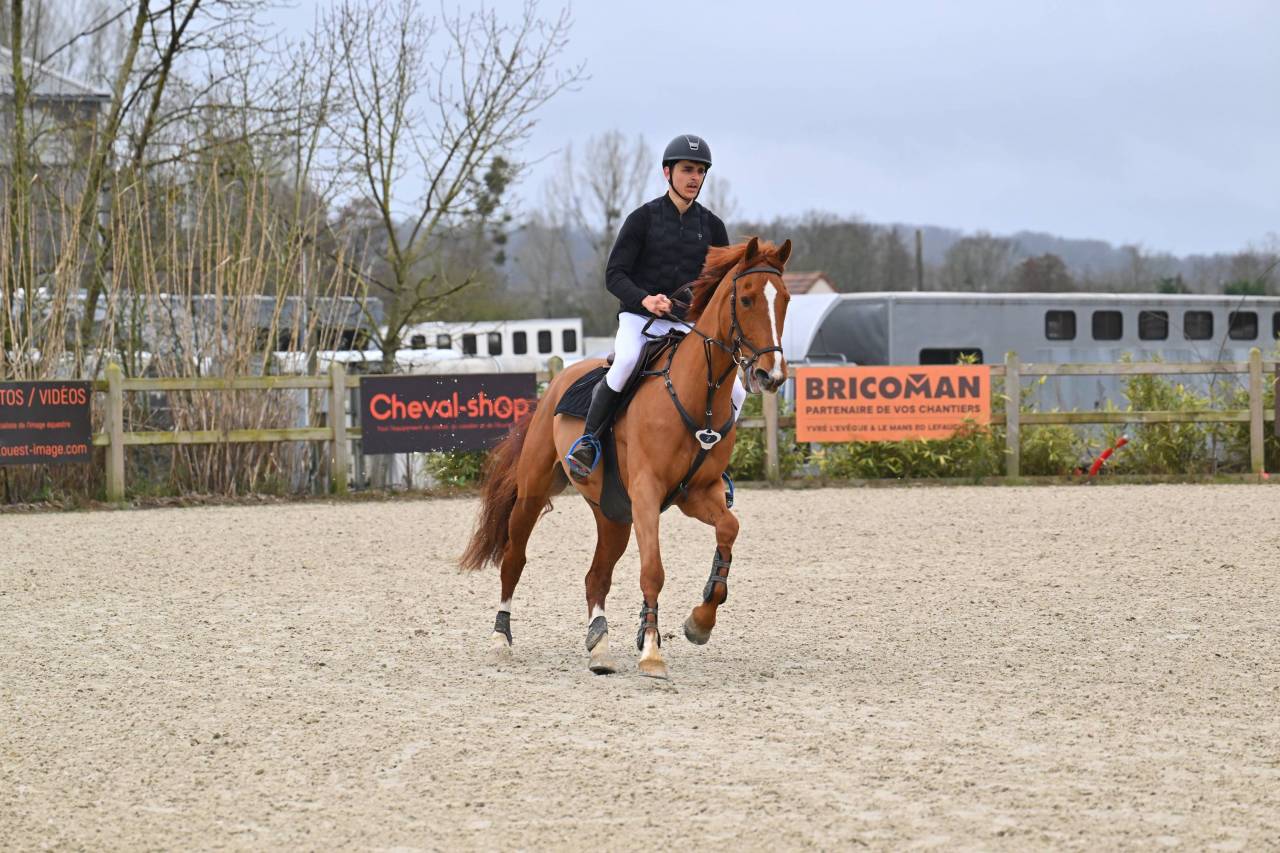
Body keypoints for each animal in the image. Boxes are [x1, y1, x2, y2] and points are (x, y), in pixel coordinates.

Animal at [460, 237, 792, 679]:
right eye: (749, 298)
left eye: (785, 299)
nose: (771, 375)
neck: (696, 395)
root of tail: (557, 380)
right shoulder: (648, 493)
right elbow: (653, 570)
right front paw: (651, 651)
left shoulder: (697, 494)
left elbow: (728, 530)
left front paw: (699, 622)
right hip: (533, 494)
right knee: (514, 559)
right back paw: (500, 639)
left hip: (613, 513)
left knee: (596, 576)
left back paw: (599, 646)